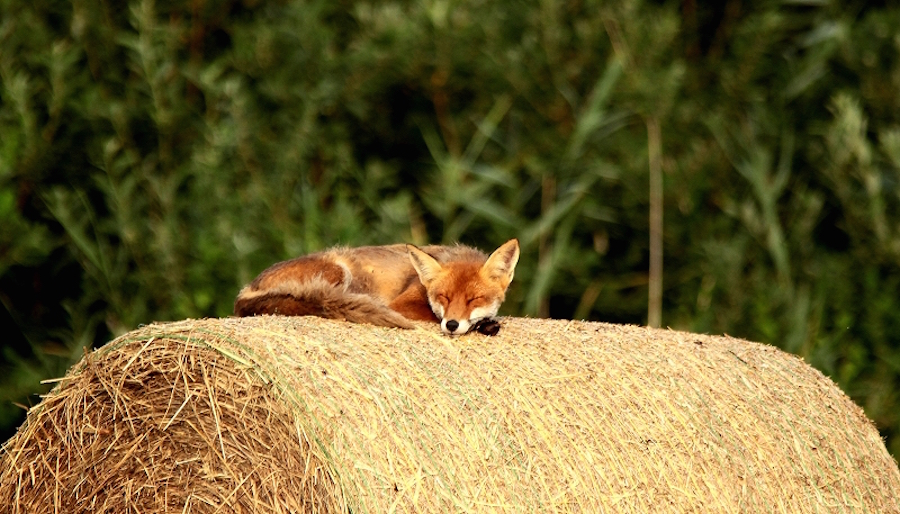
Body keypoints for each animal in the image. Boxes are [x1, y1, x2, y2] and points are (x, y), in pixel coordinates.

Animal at [234, 239, 520, 336]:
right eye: (443, 297)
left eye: (474, 299)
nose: (451, 325)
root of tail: (245, 290)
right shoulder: (402, 304)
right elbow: (430, 316)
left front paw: (487, 324)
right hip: (338, 271)